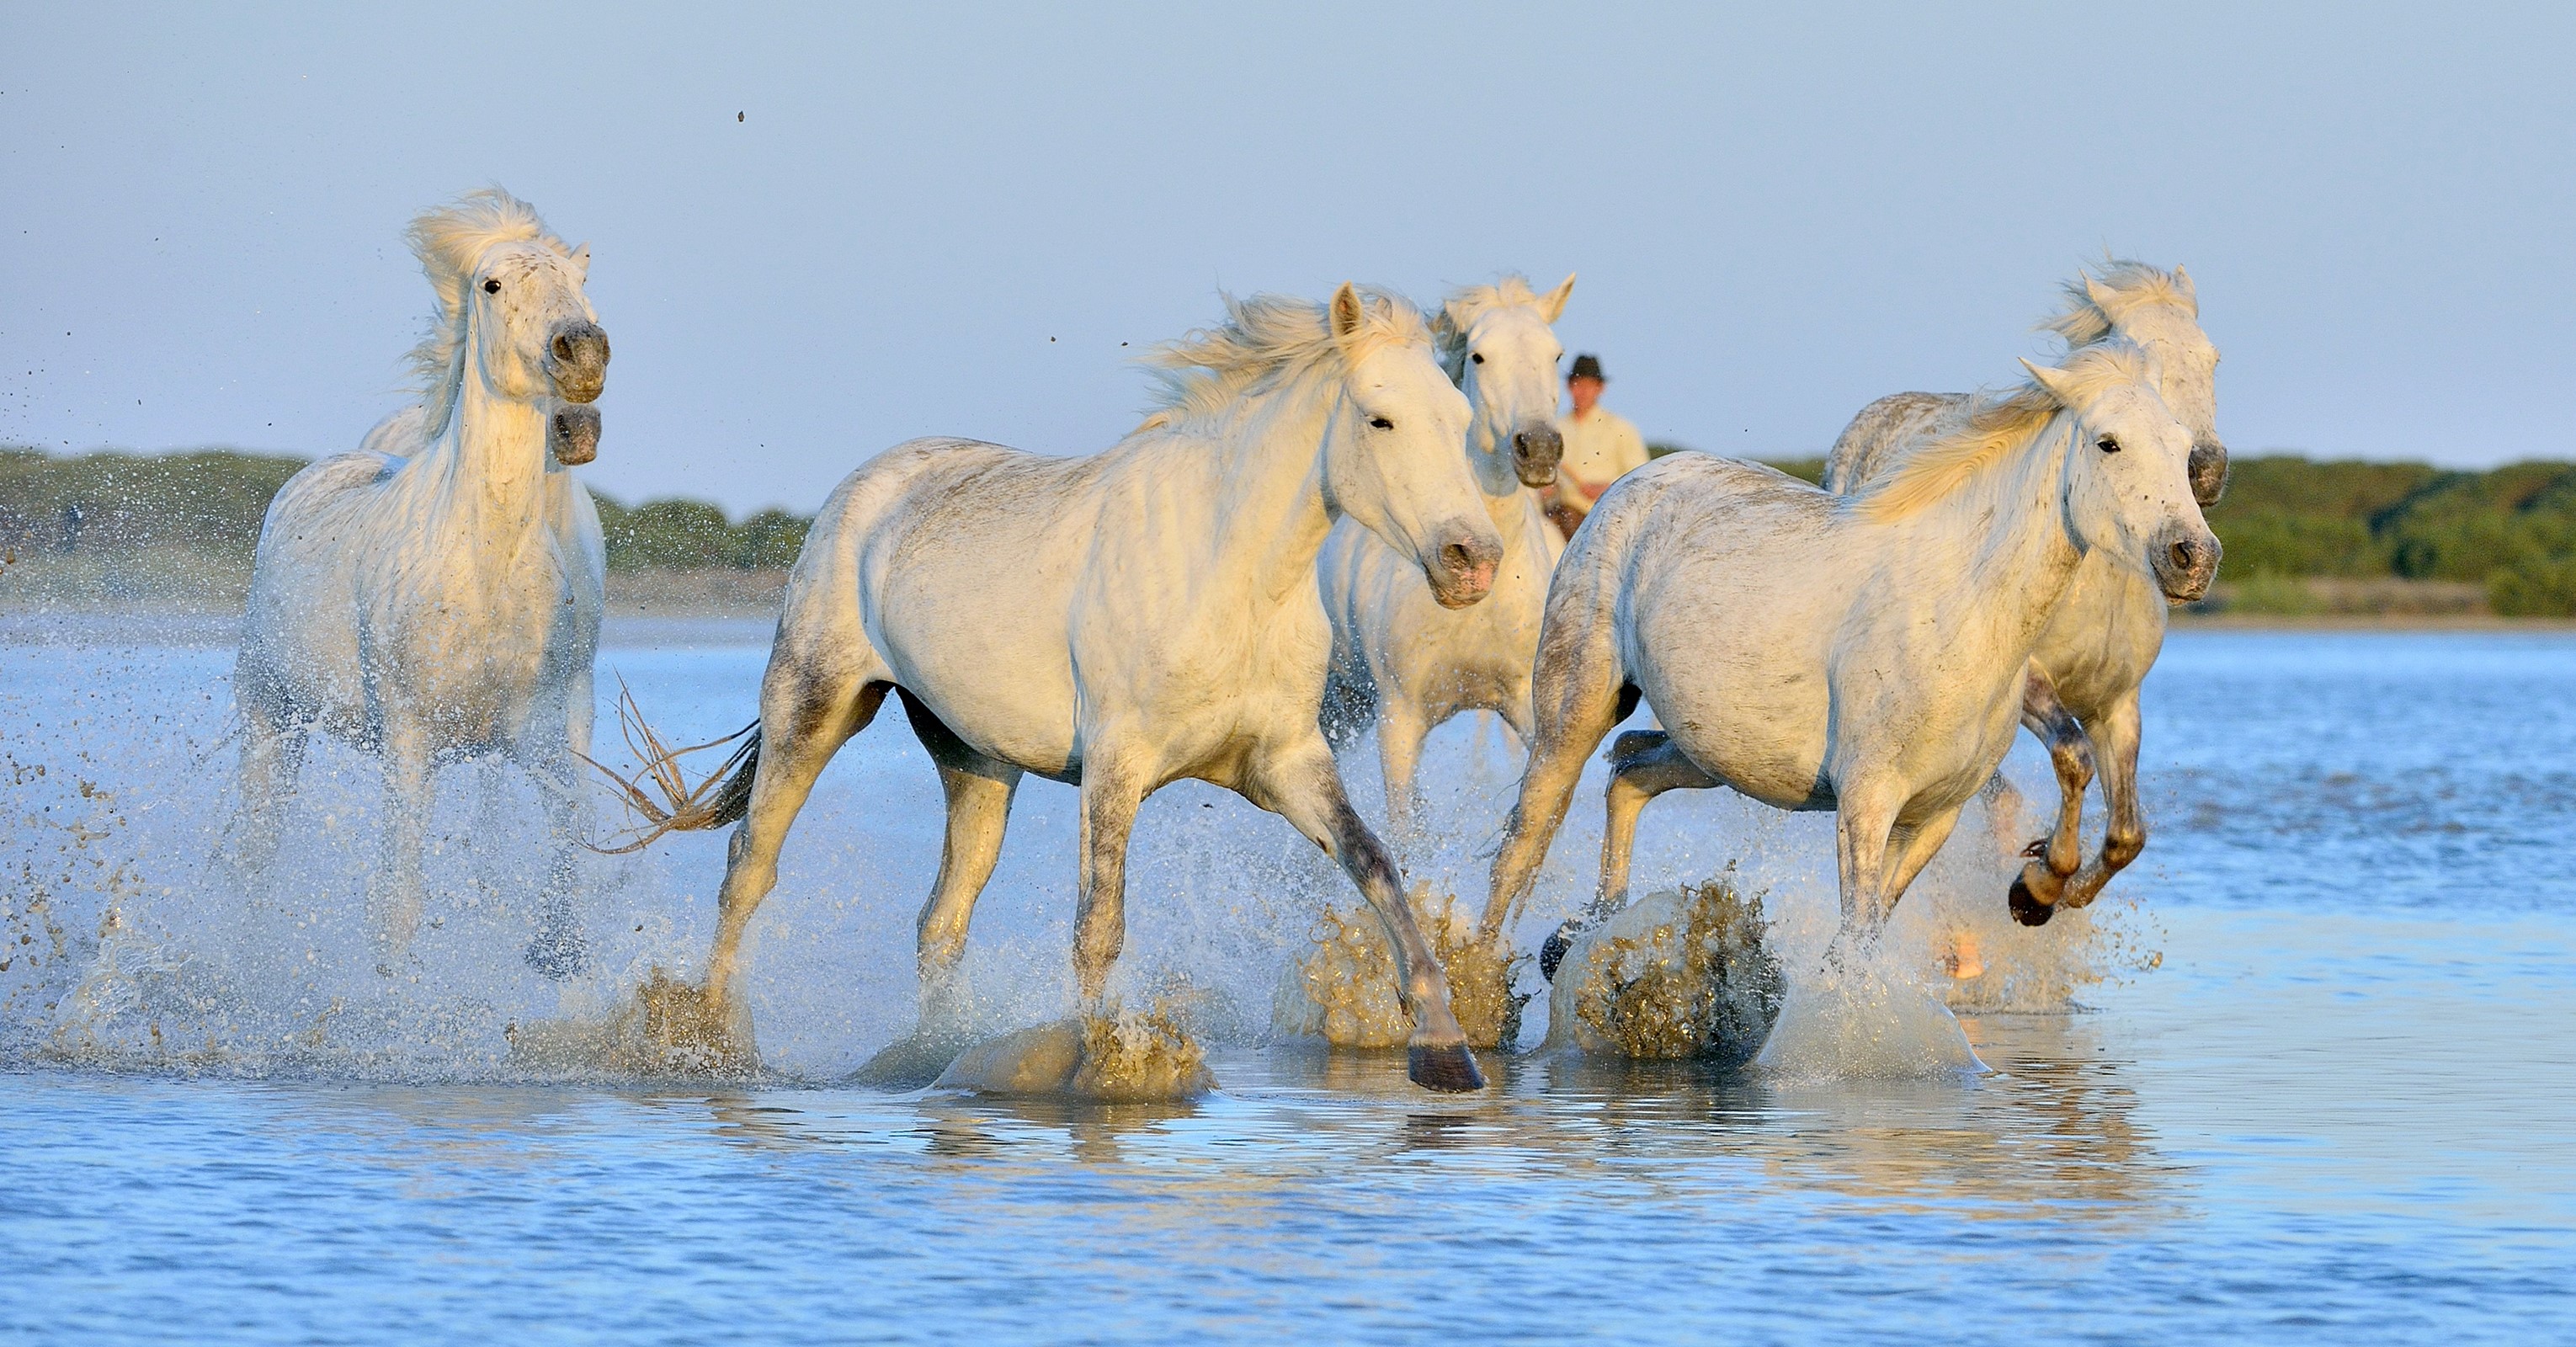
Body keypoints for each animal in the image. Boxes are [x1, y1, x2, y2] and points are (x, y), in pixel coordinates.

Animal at [230, 188, 610, 978]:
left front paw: (553, 949)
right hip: (271, 713)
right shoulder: (410, 740)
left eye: (580, 281)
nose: (584, 357)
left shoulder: (541, 730)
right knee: (256, 854)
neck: (486, 569)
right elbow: (397, 907)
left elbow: (573, 841)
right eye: (491, 285)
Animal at [656, 284, 1504, 1091]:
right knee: (748, 869)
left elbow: (1376, 867)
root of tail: (864, 488)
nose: (1473, 560)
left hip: (975, 762)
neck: (1227, 577)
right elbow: (1099, 926)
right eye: (1379, 418)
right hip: (814, 705)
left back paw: (935, 1054)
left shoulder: (1285, 761)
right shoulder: (1115, 764)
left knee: (941, 920)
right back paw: (710, 1041)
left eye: (1460, 415)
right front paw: (1107, 1067)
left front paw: (1445, 1051)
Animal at [1479, 341, 2218, 976]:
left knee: (1629, 773)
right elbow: (1859, 936)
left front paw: (2033, 888)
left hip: (1711, 751)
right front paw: (2034, 889)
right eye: (2108, 442)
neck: (1961, 609)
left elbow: (1858, 944)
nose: (2194, 556)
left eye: (2183, 449)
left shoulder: (1935, 816)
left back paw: (1583, 934)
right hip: (1574, 711)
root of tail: (1633, 483)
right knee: (1524, 843)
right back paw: (1484, 986)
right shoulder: (1867, 803)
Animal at [1822, 262, 2223, 924]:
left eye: (2213, 356)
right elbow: (2072, 757)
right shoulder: (2030, 682)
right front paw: (2036, 886)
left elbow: (2127, 832)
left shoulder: (2118, 701)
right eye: (2139, 352)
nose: (2205, 470)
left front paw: (2066, 890)